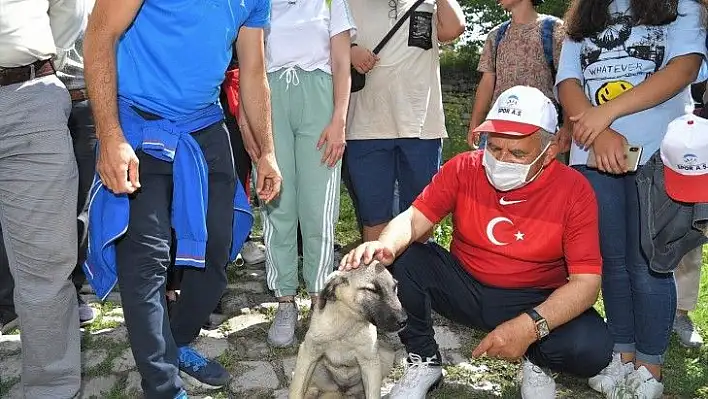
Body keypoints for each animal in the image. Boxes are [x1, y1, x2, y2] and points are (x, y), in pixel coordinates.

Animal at [290, 262, 410, 399]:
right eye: (371, 290)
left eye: (395, 288)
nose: (404, 321)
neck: (347, 326)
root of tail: (343, 390)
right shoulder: (308, 352)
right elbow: (296, 390)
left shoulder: (370, 363)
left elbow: (373, 393)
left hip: (384, 356)